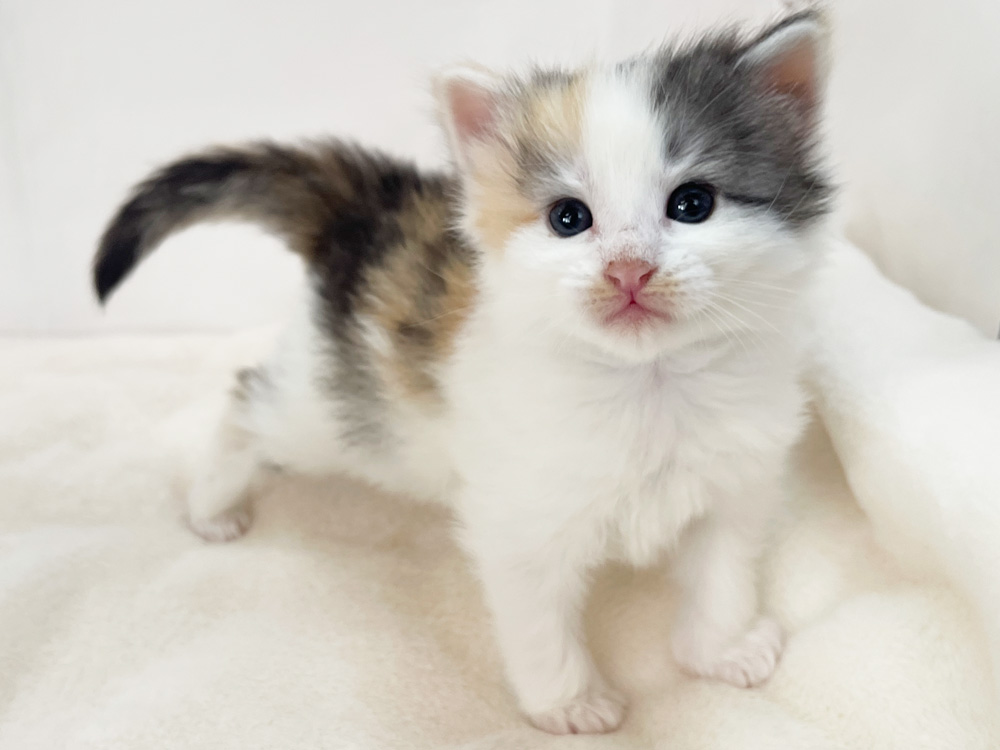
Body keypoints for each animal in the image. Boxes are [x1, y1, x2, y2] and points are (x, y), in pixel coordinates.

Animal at [92, 9, 832, 735]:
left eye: (692, 204)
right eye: (569, 218)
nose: (629, 270)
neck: (649, 383)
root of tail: (372, 208)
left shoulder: (735, 485)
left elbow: (724, 575)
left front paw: (723, 651)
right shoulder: (520, 517)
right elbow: (538, 621)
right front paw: (568, 704)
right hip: (340, 408)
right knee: (249, 399)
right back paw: (213, 505)